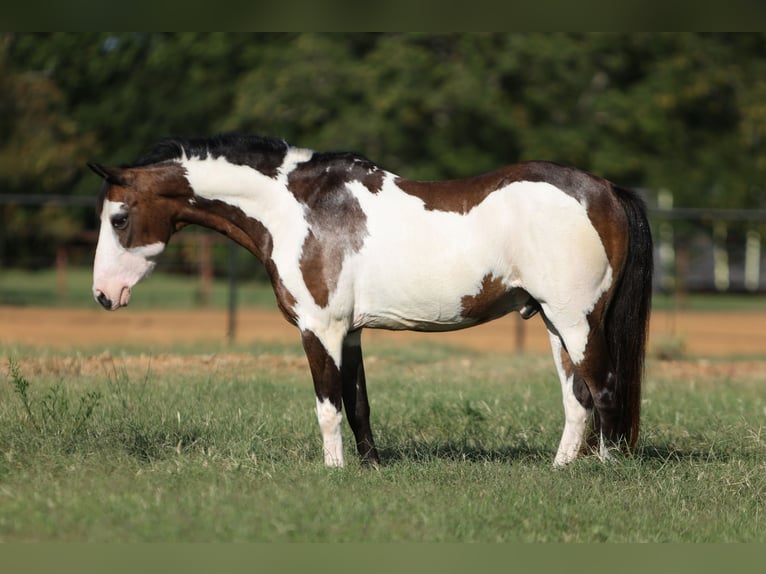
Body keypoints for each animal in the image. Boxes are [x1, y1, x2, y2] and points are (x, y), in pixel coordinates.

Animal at [88, 133, 652, 468]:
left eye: (119, 218)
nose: (103, 295)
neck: (298, 210)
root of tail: (605, 189)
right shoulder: (351, 331)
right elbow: (357, 403)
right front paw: (370, 467)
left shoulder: (319, 329)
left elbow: (328, 405)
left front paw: (334, 472)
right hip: (558, 324)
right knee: (577, 398)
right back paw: (560, 470)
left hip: (577, 321)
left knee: (603, 389)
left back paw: (605, 471)